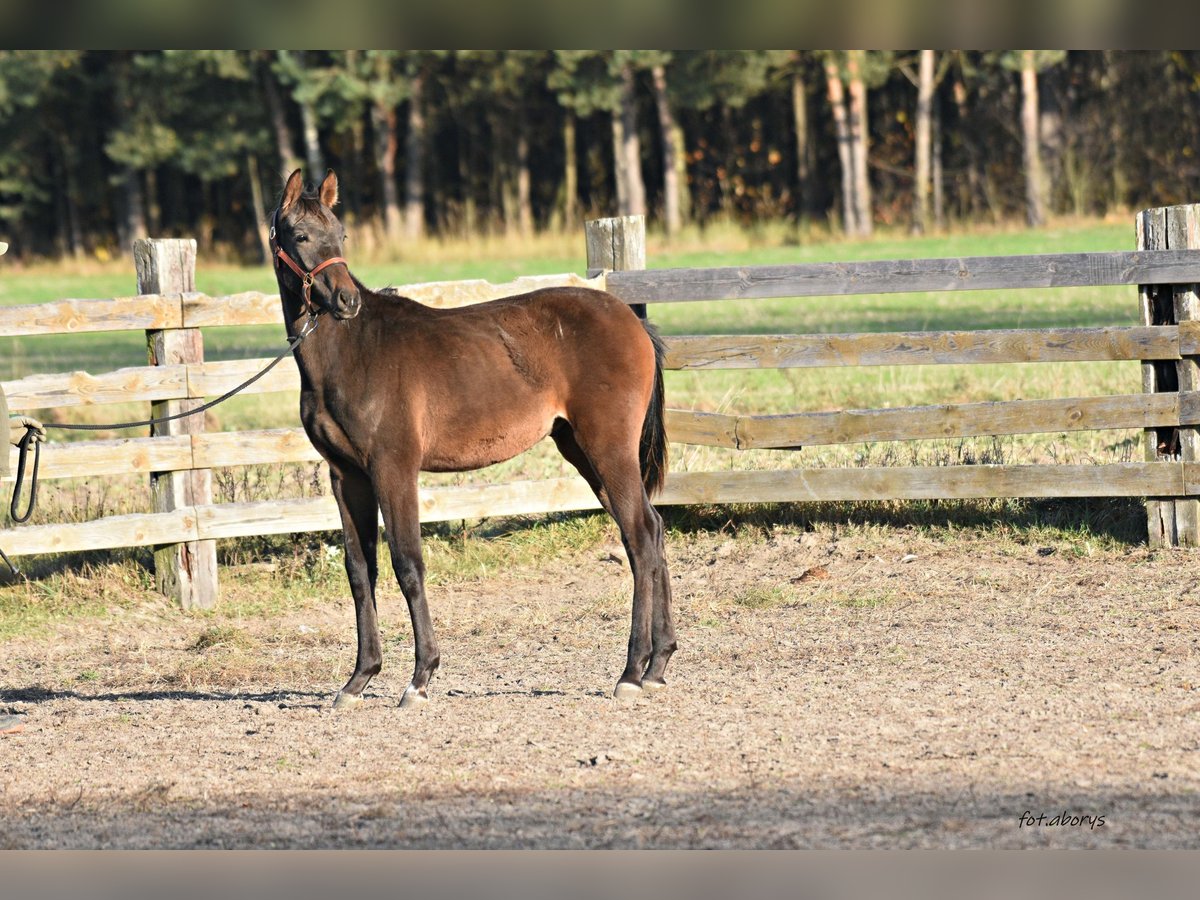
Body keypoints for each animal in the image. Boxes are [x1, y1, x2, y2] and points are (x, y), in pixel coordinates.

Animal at [273, 172, 681, 710]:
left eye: (340, 235)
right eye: (300, 235)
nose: (346, 301)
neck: (353, 352)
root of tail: (631, 319)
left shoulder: (393, 468)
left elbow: (408, 563)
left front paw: (420, 678)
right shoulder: (347, 476)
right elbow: (361, 571)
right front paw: (358, 680)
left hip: (607, 448)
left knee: (638, 534)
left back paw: (631, 672)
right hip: (581, 451)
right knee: (653, 529)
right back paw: (658, 665)